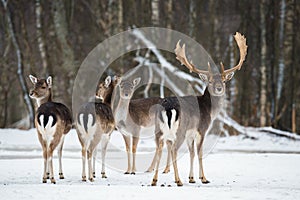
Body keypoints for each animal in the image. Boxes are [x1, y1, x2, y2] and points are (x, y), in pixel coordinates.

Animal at [151, 32, 247, 187]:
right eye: (210, 81)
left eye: (224, 80)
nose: (219, 88)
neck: (209, 110)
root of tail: (167, 107)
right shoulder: (201, 129)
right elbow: (200, 152)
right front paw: (204, 178)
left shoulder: (190, 134)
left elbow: (191, 153)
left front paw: (192, 178)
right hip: (179, 130)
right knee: (174, 150)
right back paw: (178, 180)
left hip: (158, 130)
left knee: (160, 148)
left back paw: (154, 180)